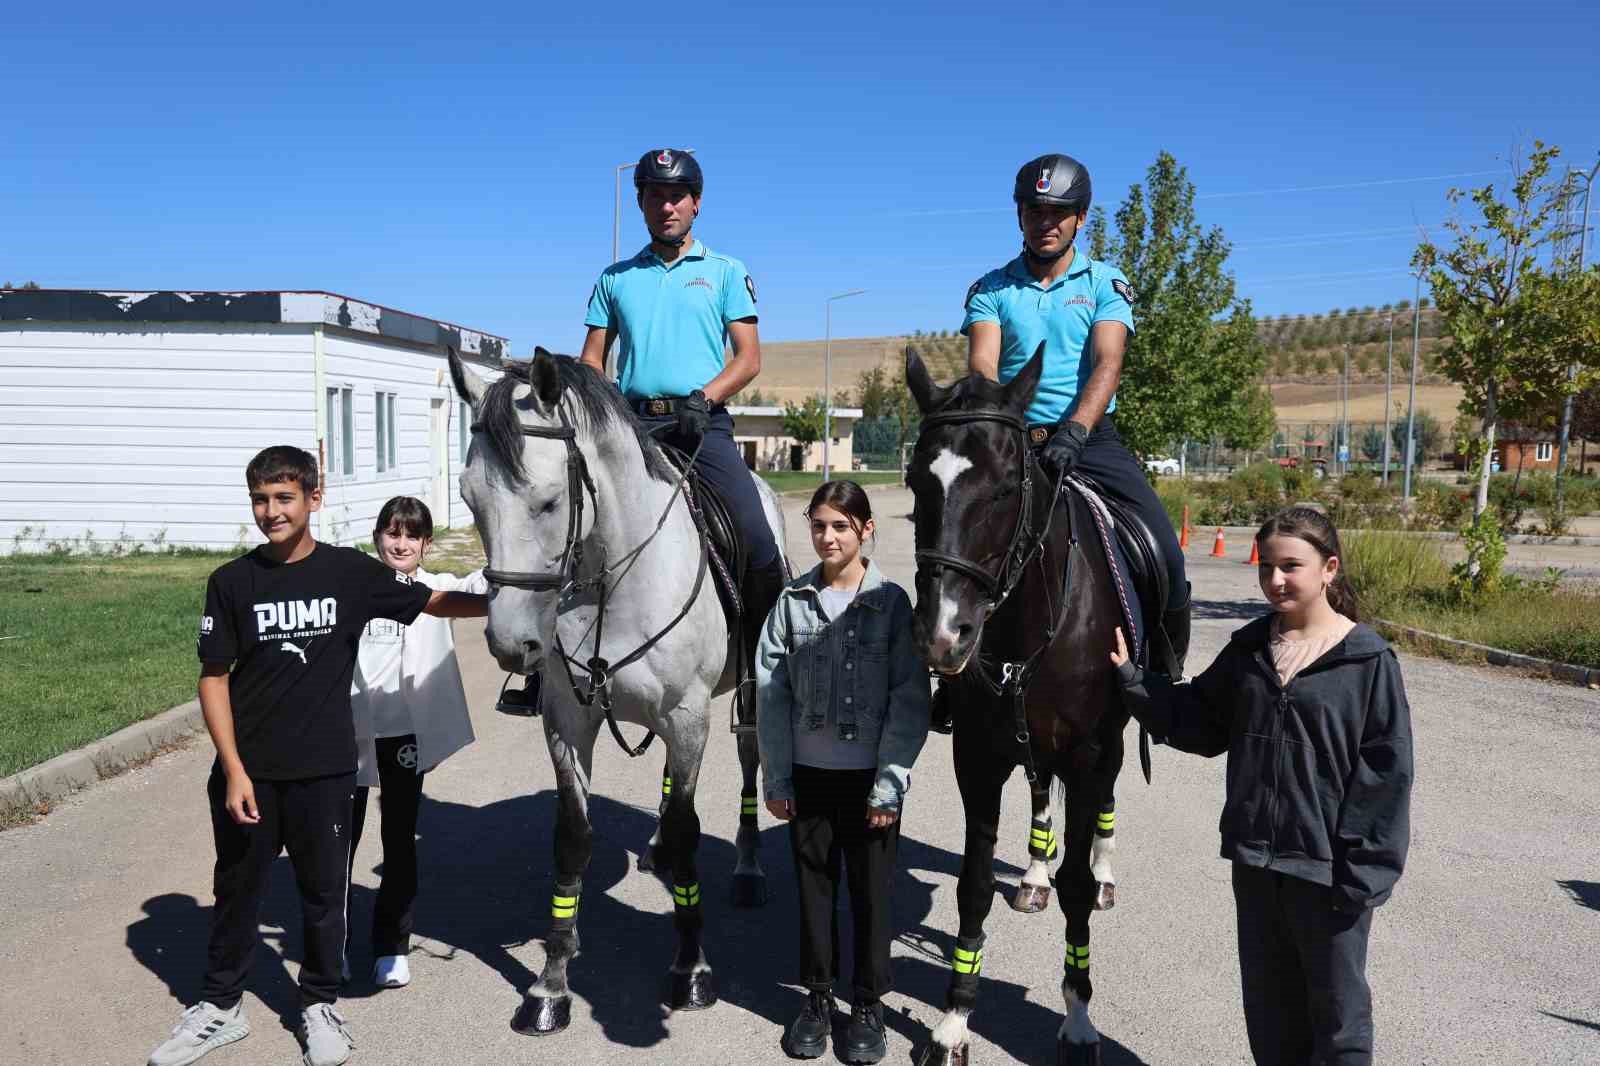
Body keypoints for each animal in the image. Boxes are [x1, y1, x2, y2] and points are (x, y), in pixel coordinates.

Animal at [448, 347, 784, 1030]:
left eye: (550, 502)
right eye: (469, 499)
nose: (511, 645)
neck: (614, 576)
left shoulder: (688, 718)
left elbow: (688, 834)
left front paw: (691, 971)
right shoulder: (567, 720)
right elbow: (572, 840)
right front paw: (551, 983)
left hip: (744, 704)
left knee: (747, 765)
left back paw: (747, 869)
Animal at [908, 344, 1132, 1056]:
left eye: (1007, 487)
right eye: (917, 484)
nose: (944, 633)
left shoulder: (1088, 753)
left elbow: (1077, 887)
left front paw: (1079, 1015)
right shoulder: (978, 757)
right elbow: (973, 885)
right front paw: (955, 1017)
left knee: (1104, 807)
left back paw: (1103, 869)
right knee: (1038, 790)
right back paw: (1033, 873)